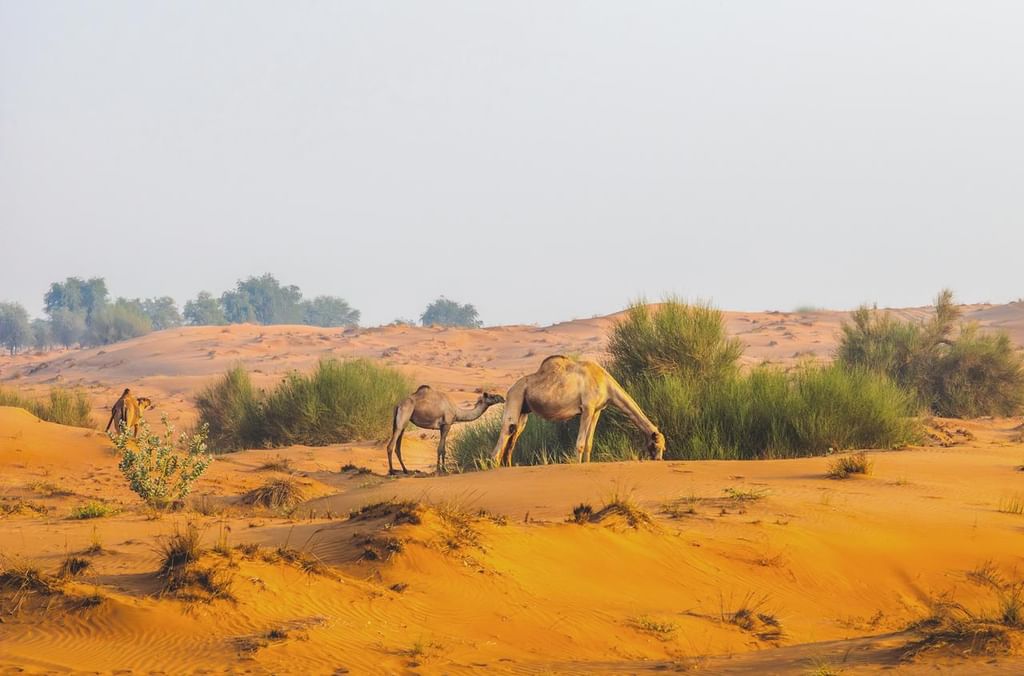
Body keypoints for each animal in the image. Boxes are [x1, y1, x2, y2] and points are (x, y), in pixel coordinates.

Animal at [492, 355, 665, 466]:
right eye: (657, 445)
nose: (659, 460)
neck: (606, 384)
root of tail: (510, 389)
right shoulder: (587, 407)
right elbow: (581, 443)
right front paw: (578, 465)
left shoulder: (597, 410)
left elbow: (589, 443)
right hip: (515, 397)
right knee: (506, 431)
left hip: (524, 409)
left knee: (513, 436)